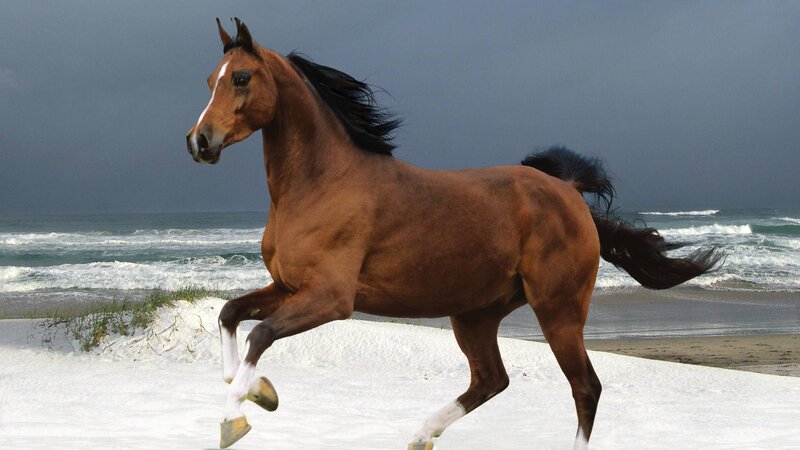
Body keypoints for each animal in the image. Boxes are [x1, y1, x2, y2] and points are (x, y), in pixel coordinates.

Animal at [186, 18, 721, 449]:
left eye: (240, 78)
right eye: (210, 80)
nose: (199, 141)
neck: (322, 183)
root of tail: (568, 192)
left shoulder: (331, 298)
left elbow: (260, 334)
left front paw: (235, 418)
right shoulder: (289, 286)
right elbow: (231, 315)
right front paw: (258, 391)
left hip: (558, 310)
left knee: (585, 387)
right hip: (476, 314)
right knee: (492, 380)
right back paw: (421, 434)